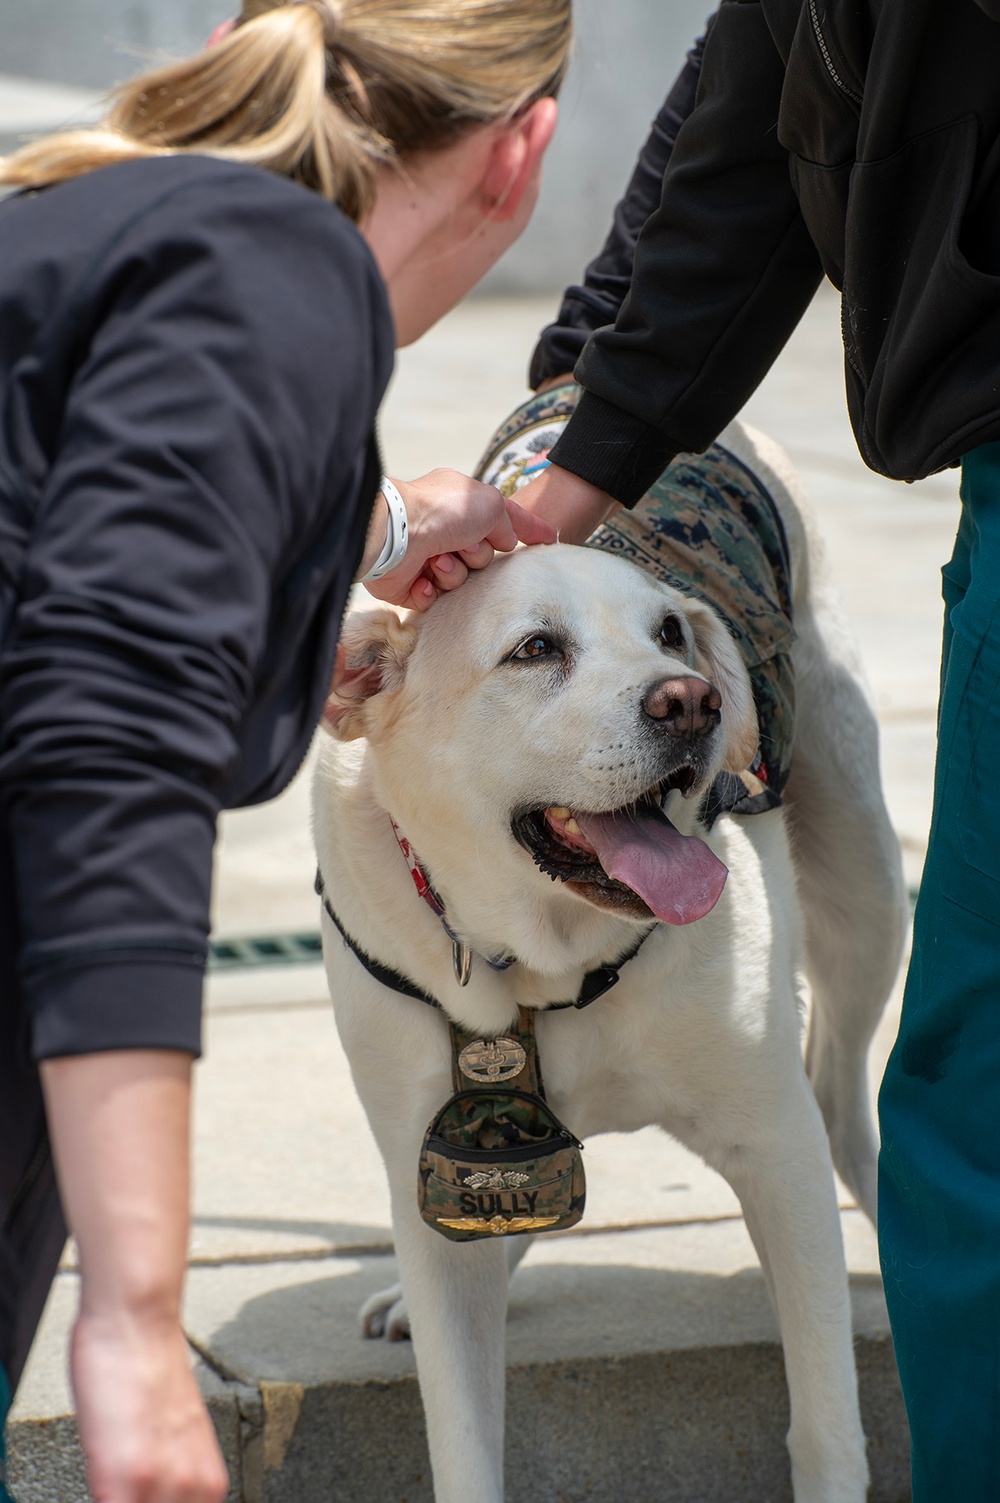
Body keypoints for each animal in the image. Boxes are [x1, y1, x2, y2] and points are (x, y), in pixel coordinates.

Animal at [312, 417, 902, 1496]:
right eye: (535, 649)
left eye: (669, 632)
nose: (693, 702)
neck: (539, 960)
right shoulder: (429, 1157)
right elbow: (463, 1438)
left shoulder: (776, 1148)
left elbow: (827, 1417)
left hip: (866, 887)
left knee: (843, 1101)